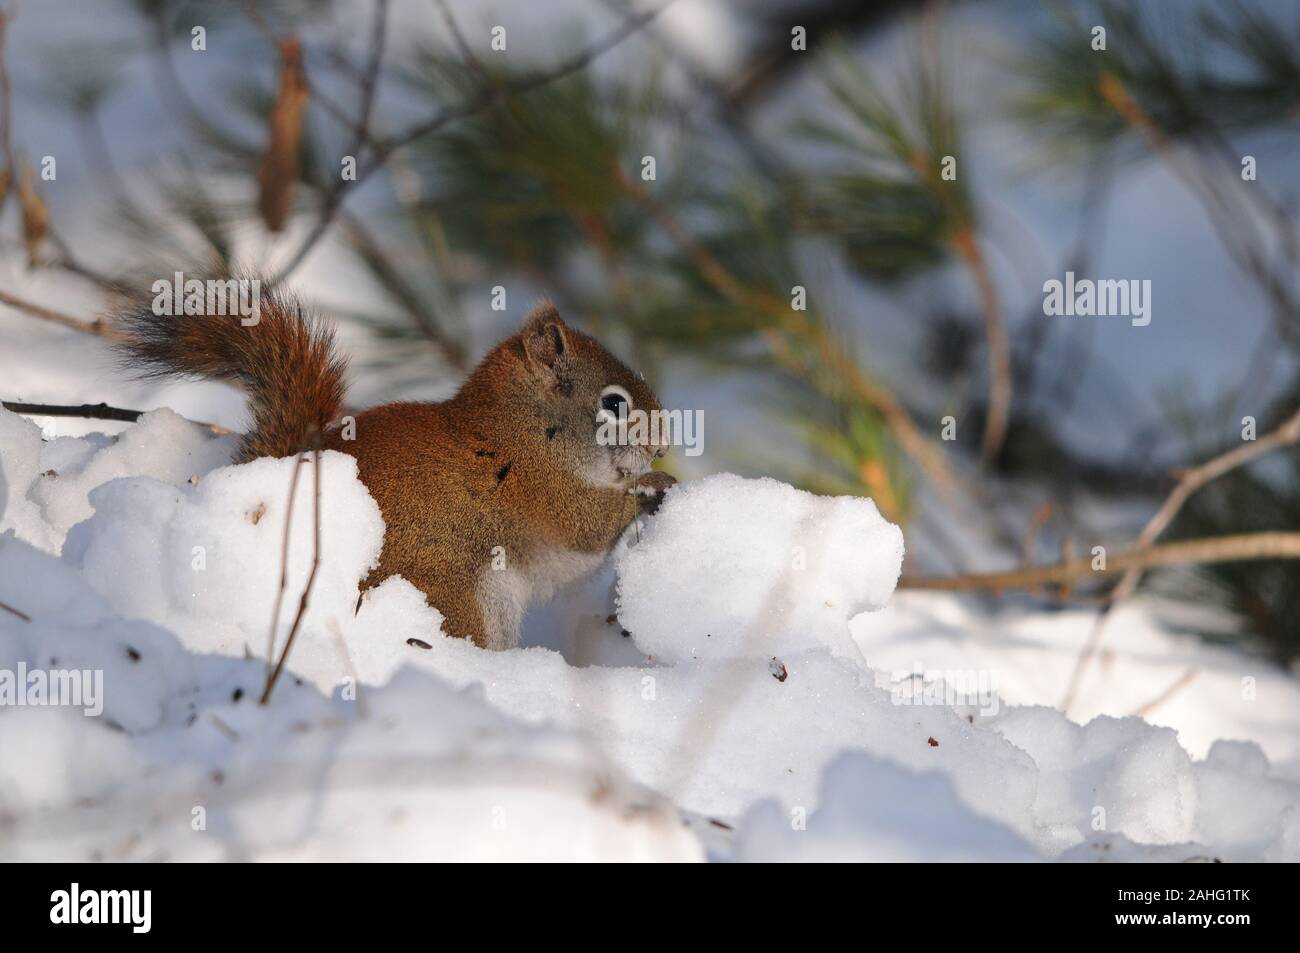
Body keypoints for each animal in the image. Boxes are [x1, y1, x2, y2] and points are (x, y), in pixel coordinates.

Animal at [116, 289, 676, 647]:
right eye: (614, 404)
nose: (662, 444)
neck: (518, 433)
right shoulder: (540, 492)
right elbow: (587, 527)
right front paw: (655, 484)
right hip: (456, 596)